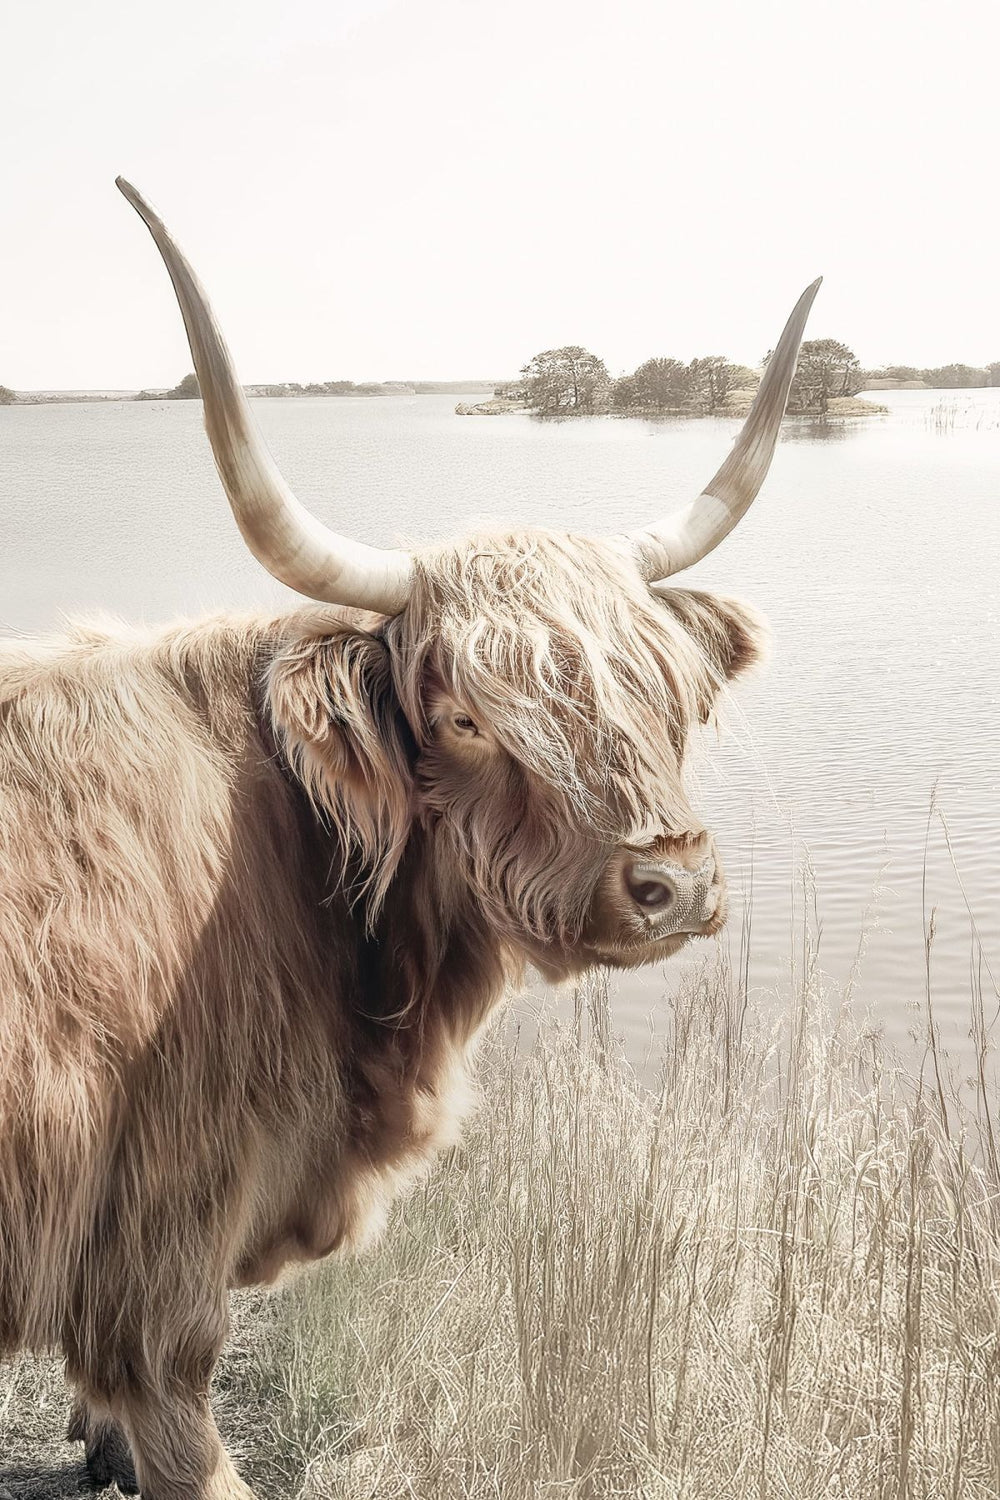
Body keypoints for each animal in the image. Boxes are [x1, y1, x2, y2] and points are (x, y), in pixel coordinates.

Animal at [0, 177, 818, 1498]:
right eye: (464, 718)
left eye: (666, 691)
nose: (673, 885)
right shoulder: (158, 1247)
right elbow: (185, 1429)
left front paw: (95, 1445)